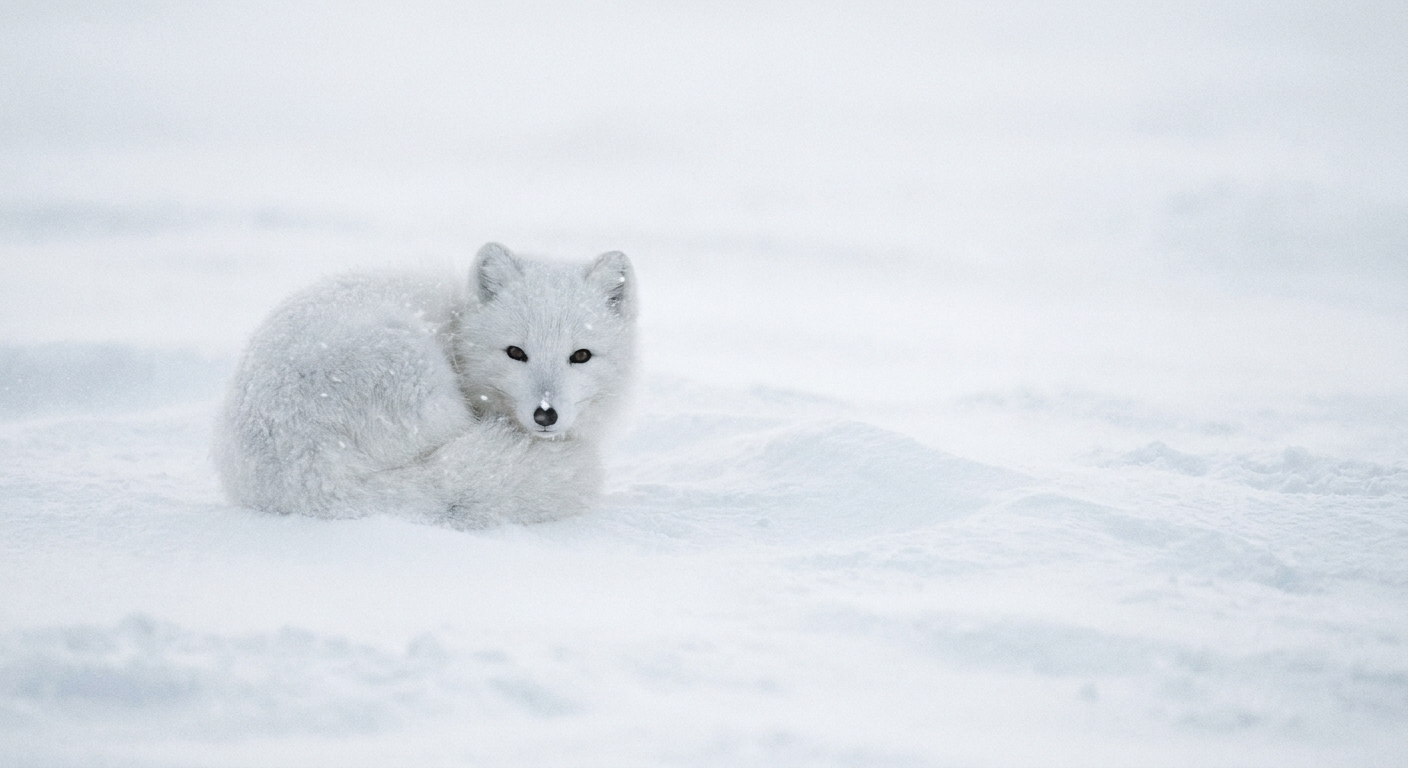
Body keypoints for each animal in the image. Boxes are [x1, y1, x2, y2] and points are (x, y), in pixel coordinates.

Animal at [213, 242, 637, 527]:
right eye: (515, 352)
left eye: (580, 355)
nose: (544, 415)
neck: (456, 329)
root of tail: (304, 476)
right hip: (412, 372)